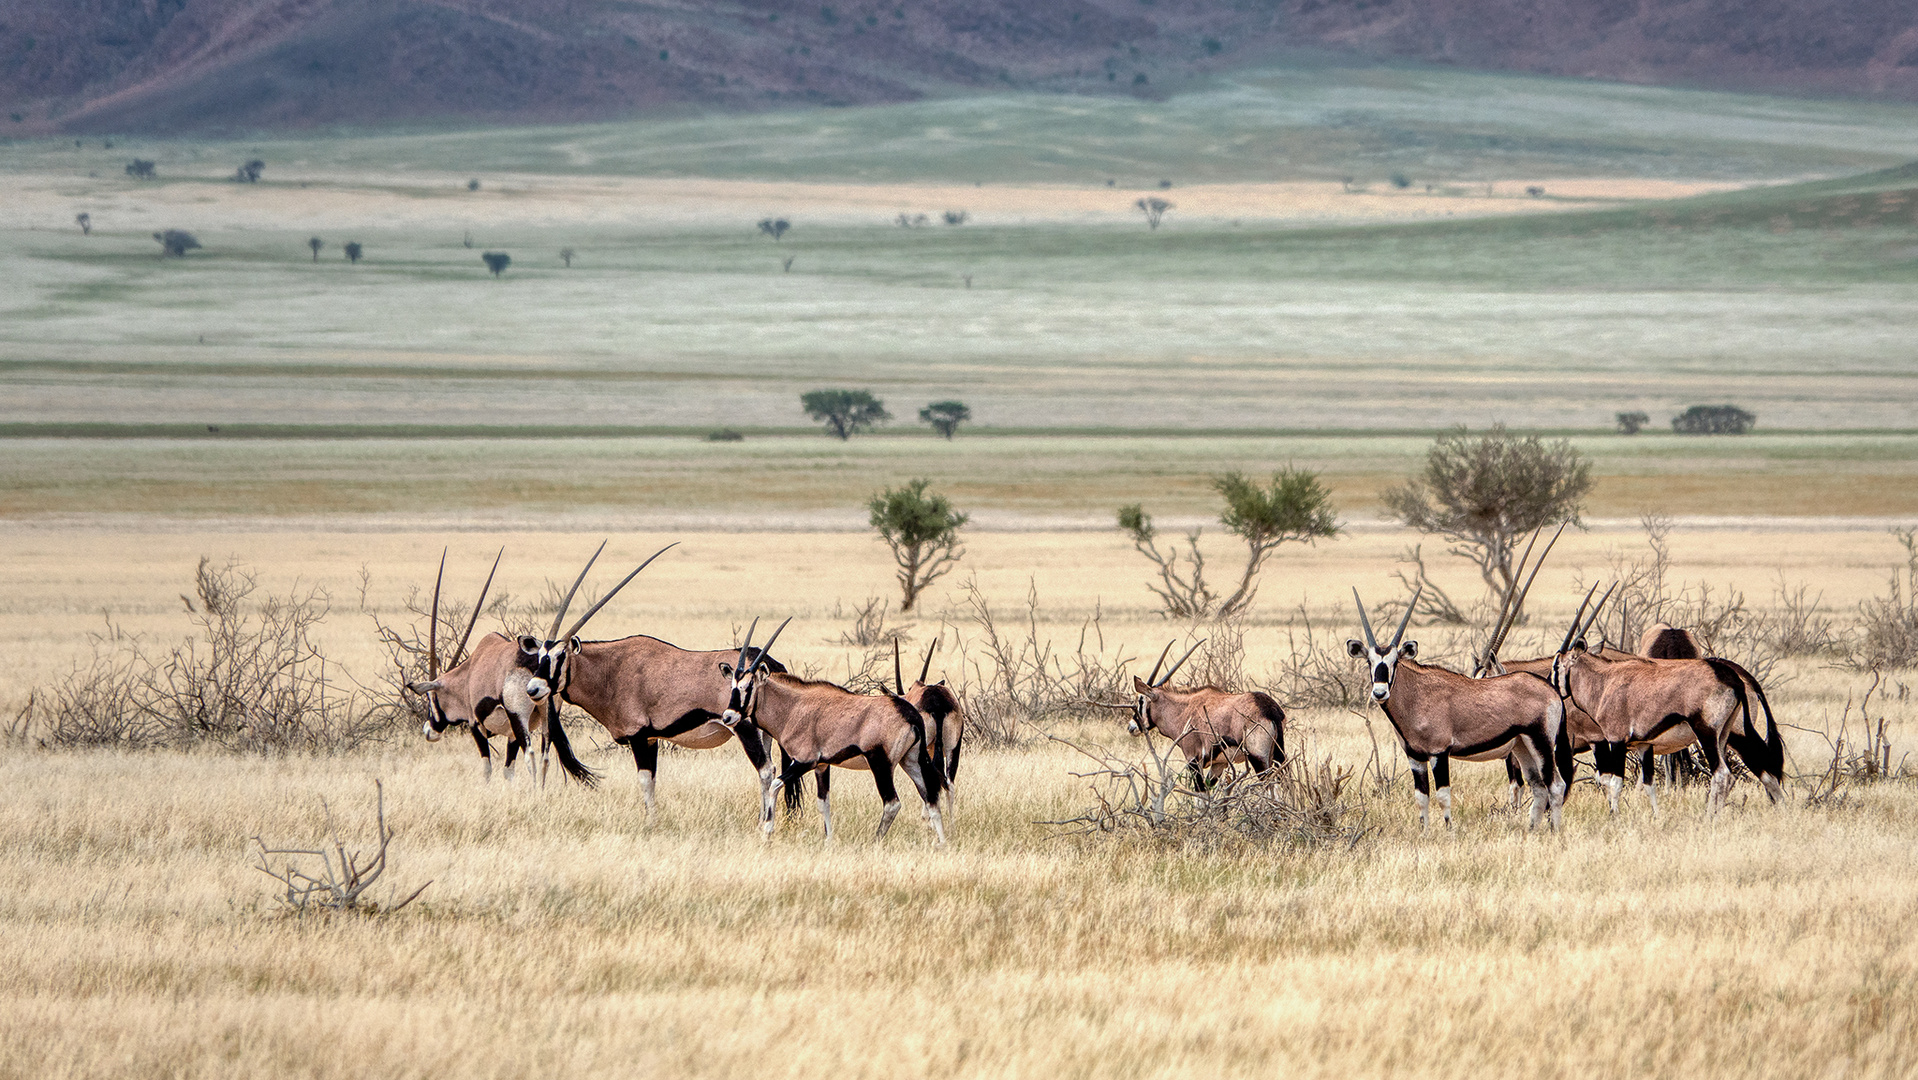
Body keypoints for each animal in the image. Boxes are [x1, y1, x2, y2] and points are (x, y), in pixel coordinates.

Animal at [721, 617, 947, 844]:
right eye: (733, 686)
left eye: (748, 686)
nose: (728, 717)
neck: (793, 707)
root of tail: (909, 713)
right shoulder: (822, 765)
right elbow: (824, 802)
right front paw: (829, 840)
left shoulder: (804, 761)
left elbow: (774, 785)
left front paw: (767, 832)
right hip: (910, 761)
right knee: (931, 798)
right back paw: (943, 843)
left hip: (881, 764)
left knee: (892, 803)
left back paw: (875, 841)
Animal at [1357, 590, 1565, 828]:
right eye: (1369, 662)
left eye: (1395, 662)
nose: (1379, 693)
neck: (1418, 694)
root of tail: (1551, 690)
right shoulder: (1415, 757)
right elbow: (1421, 798)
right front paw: (1425, 832)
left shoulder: (1439, 752)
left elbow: (1442, 796)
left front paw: (1449, 830)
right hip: (1523, 745)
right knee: (1539, 787)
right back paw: (1531, 830)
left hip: (1541, 742)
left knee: (1556, 785)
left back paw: (1555, 830)